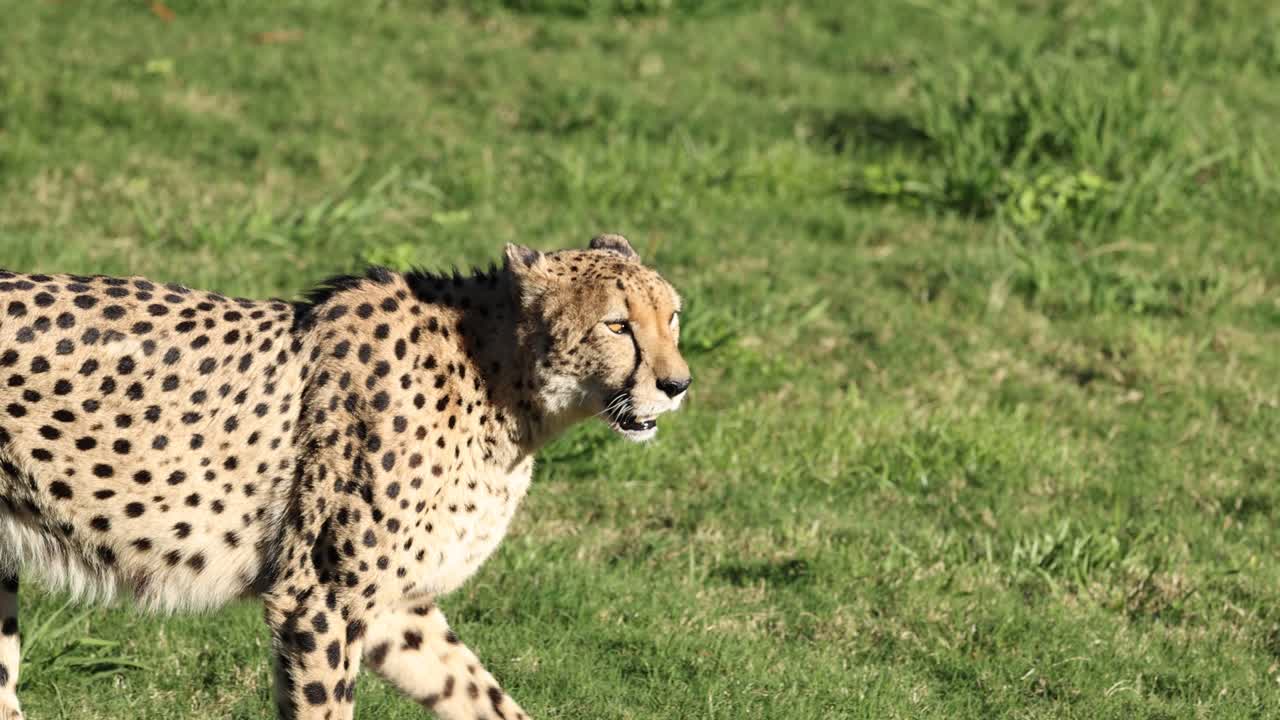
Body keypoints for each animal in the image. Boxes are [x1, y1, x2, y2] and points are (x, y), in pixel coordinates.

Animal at [0, 233, 691, 720]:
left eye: (673, 317)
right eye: (617, 324)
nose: (677, 385)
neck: (499, 381)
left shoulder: (395, 608)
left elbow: (477, 691)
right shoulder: (319, 600)